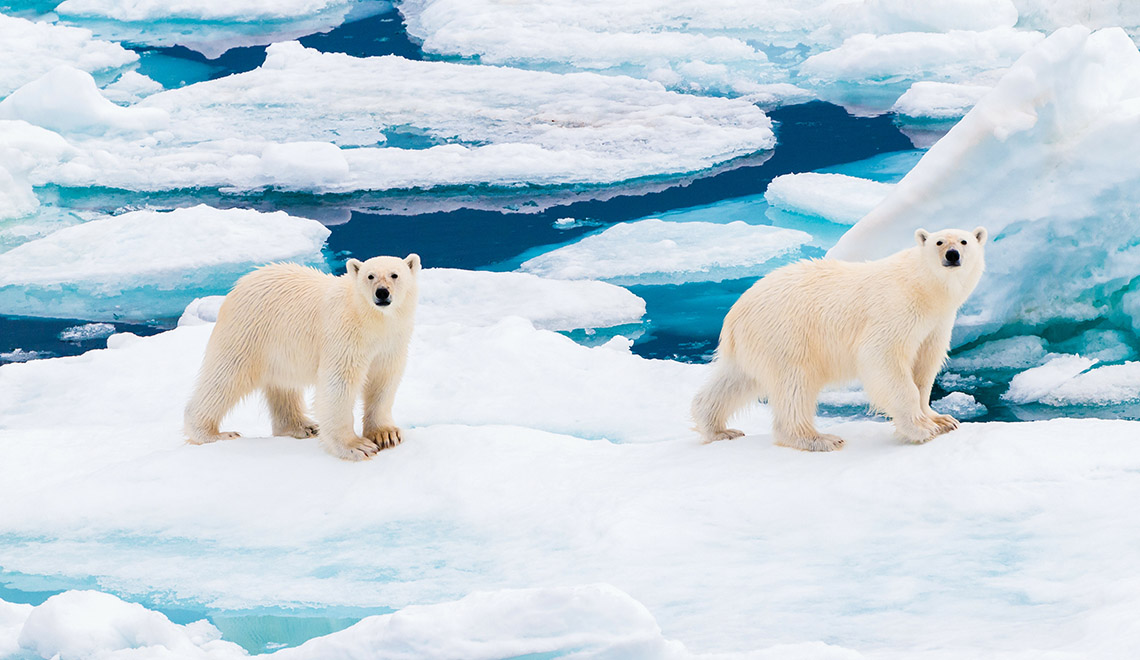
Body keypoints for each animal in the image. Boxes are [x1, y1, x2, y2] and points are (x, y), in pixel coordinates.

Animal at [184, 255, 421, 462]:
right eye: (370, 276)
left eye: (394, 274)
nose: (382, 293)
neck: (371, 319)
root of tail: (241, 283)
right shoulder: (345, 334)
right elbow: (339, 384)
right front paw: (356, 446)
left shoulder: (391, 342)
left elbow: (384, 380)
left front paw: (386, 435)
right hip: (247, 331)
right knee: (225, 377)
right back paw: (212, 433)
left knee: (282, 385)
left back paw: (303, 426)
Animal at [688, 226, 984, 449]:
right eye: (939, 241)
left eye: (964, 241)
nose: (952, 254)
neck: (924, 289)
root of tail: (735, 313)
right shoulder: (895, 310)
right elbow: (883, 358)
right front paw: (920, 429)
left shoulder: (937, 324)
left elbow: (924, 369)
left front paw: (942, 420)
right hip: (786, 334)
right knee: (795, 384)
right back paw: (819, 438)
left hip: (755, 343)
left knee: (734, 380)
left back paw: (718, 429)